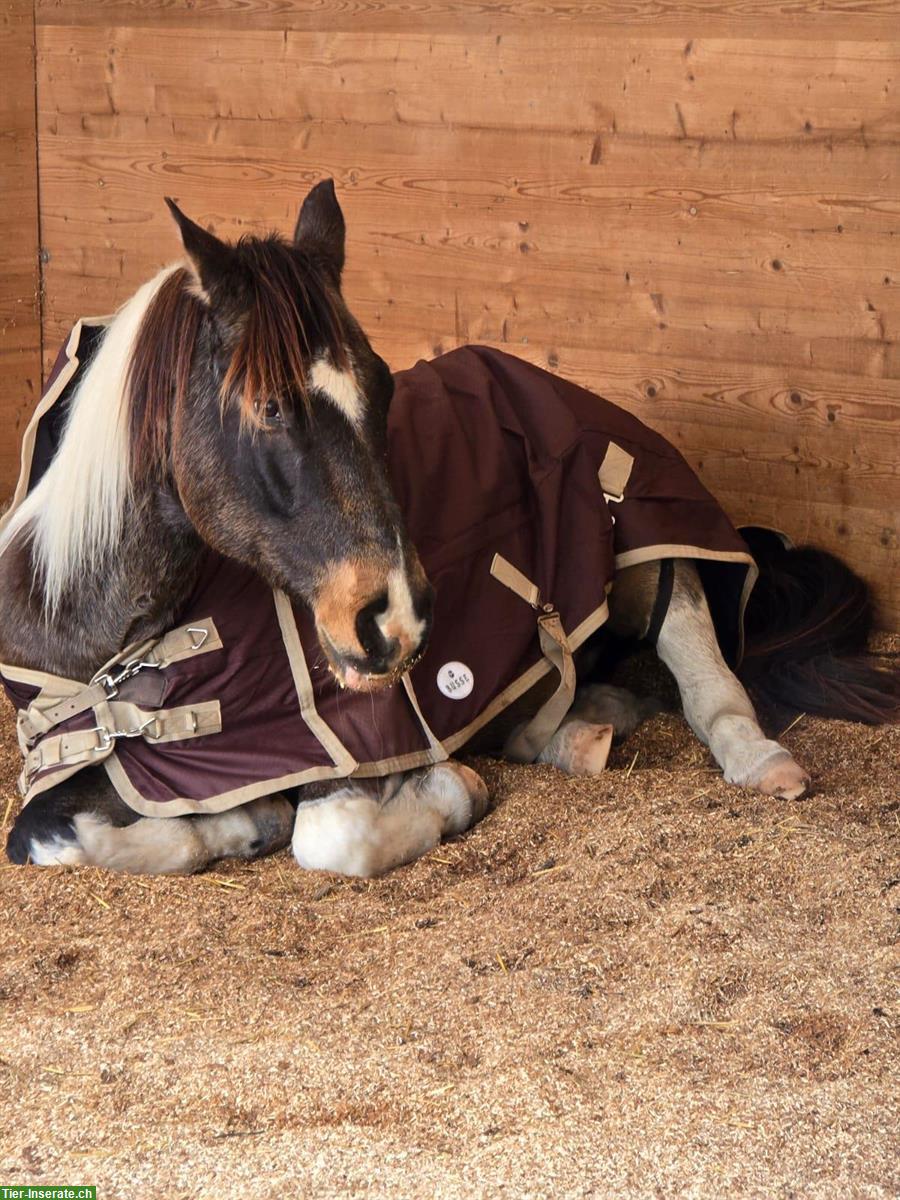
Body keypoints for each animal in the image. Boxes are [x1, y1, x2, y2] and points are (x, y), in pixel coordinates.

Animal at [3, 177, 897, 873]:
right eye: (269, 407)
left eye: (385, 384)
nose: (397, 616)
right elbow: (49, 837)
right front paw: (239, 822)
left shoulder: (352, 741)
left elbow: (332, 836)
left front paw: (448, 790)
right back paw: (575, 732)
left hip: (640, 540)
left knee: (704, 667)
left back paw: (761, 760)